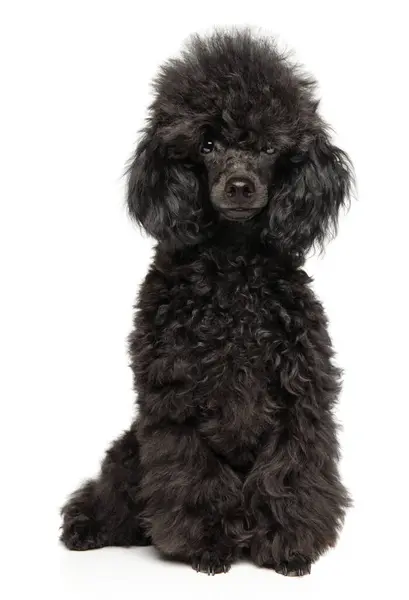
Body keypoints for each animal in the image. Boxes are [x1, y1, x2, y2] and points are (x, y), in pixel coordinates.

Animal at [60, 29, 350, 576]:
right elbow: (195, 478)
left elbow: (288, 474)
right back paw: (87, 527)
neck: (232, 276)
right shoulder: (175, 401)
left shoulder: (299, 394)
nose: (239, 186)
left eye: (268, 146)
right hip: (131, 449)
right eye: (207, 144)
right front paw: (209, 547)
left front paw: (287, 548)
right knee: (112, 492)